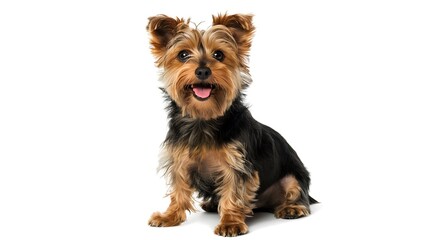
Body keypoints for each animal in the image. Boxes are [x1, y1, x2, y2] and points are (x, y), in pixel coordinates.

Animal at [145, 13, 316, 236]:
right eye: (183, 55)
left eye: (219, 55)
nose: (202, 71)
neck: (204, 119)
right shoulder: (179, 159)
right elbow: (179, 190)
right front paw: (169, 216)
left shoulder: (237, 164)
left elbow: (233, 193)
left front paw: (230, 223)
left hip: (293, 176)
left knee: (296, 192)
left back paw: (292, 208)